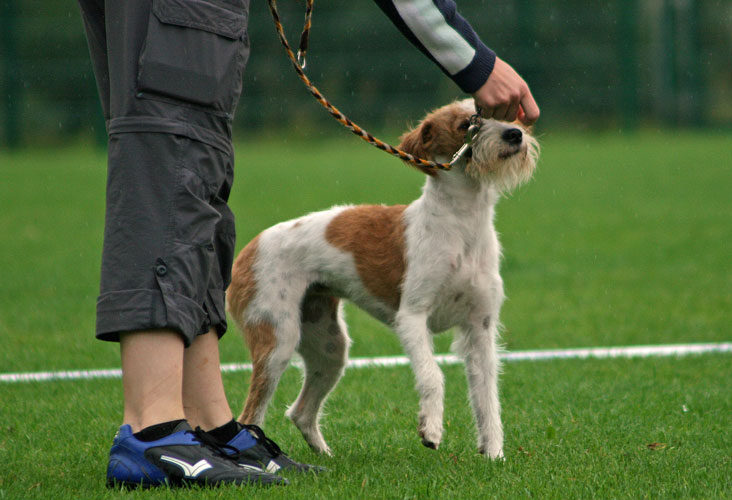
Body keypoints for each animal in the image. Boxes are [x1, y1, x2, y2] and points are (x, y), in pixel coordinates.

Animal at [226, 99, 539, 459]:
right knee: (250, 415)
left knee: (300, 412)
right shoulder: (412, 317)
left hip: (329, 346)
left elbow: (487, 397)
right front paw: (431, 429)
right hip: (277, 340)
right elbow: (433, 374)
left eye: (503, 115)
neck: (462, 225)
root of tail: (247, 250)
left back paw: (325, 455)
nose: (515, 135)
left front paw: (494, 455)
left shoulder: (480, 327)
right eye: (466, 125)